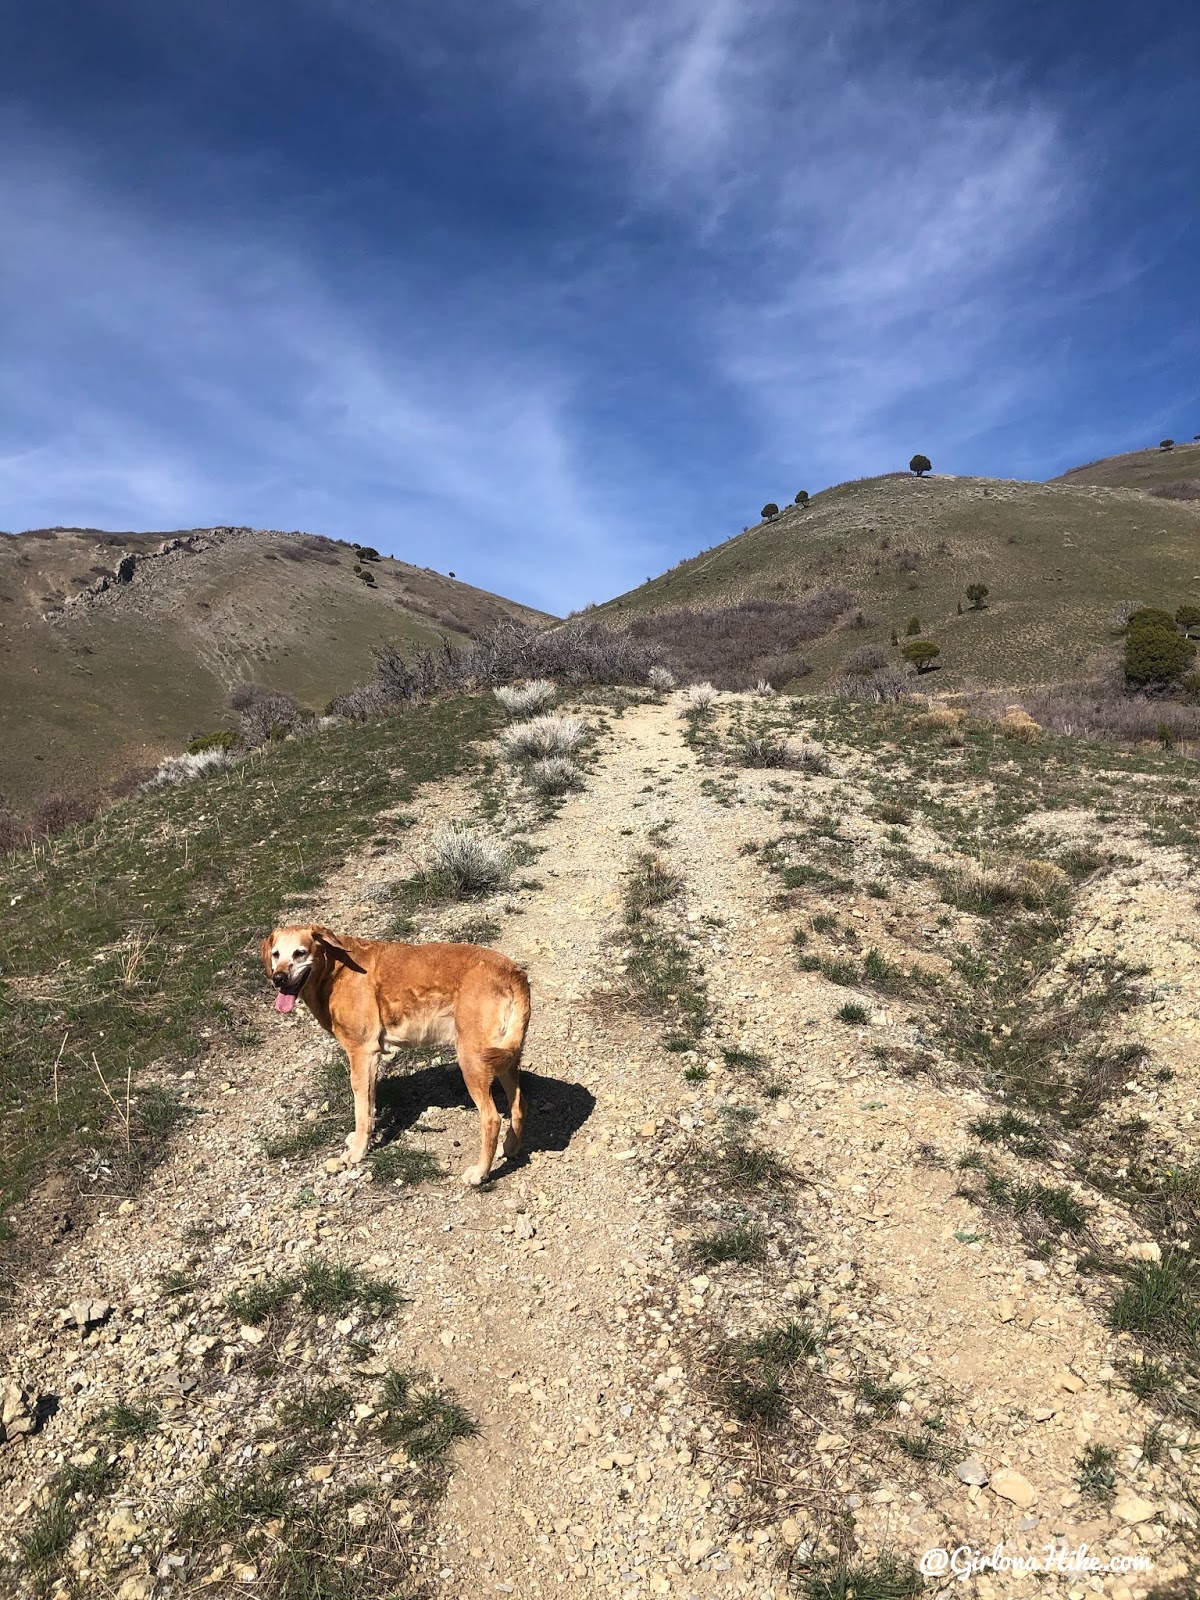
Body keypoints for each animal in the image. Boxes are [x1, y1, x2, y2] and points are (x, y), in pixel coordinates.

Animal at [265, 934, 534, 1184]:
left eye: (300, 952)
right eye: (276, 954)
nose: (278, 978)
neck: (335, 968)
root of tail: (513, 973)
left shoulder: (362, 1054)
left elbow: (361, 1108)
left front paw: (358, 1150)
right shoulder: (371, 1062)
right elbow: (370, 1105)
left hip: (472, 1062)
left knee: (491, 1119)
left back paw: (480, 1173)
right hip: (505, 1060)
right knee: (519, 1104)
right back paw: (510, 1147)